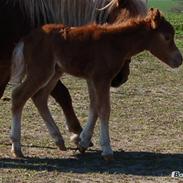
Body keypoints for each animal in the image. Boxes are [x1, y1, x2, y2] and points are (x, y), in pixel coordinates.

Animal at [11, 8, 182, 160]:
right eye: (167, 37)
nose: (179, 60)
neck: (115, 42)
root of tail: (25, 39)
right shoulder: (102, 78)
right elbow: (104, 109)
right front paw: (107, 150)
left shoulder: (92, 78)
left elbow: (94, 107)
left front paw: (83, 142)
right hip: (40, 71)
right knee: (19, 96)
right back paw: (17, 147)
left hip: (54, 73)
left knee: (39, 97)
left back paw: (58, 139)